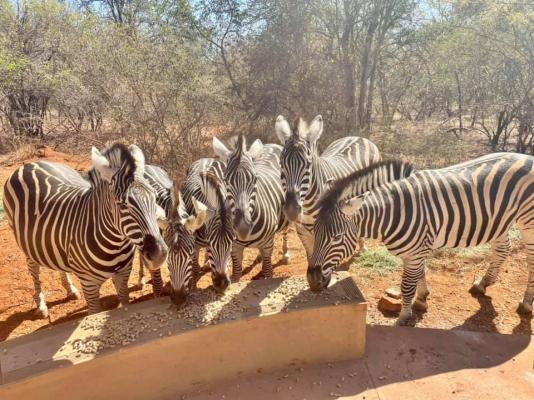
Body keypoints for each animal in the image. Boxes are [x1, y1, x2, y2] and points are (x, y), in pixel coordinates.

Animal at [2, 142, 169, 318]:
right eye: (122, 205)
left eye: (154, 197)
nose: (159, 255)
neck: (115, 244)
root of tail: (30, 164)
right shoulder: (89, 284)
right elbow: (94, 311)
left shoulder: (123, 274)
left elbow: (124, 301)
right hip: (26, 242)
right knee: (33, 268)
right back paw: (41, 305)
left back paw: (70, 290)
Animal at [274, 115, 384, 260]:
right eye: (281, 164)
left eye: (308, 164)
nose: (292, 210)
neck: (308, 206)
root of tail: (358, 137)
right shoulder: (303, 232)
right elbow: (311, 258)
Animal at [308, 153, 534, 324]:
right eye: (314, 231)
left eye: (337, 237)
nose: (312, 281)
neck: (394, 211)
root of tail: (527, 156)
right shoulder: (419, 248)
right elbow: (421, 274)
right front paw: (422, 298)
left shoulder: (416, 251)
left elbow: (407, 286)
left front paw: (404, 317)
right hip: (500, 220)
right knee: (503, 248)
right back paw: (483, 283)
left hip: (528, 222)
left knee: (530, 261)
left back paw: (526, 304)